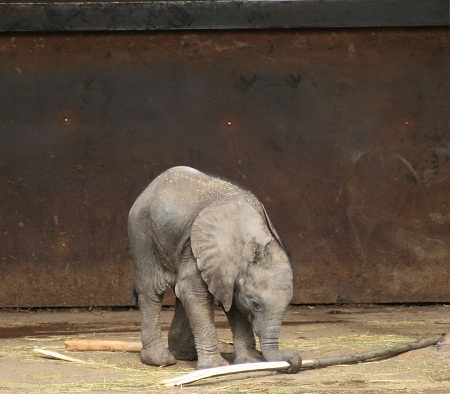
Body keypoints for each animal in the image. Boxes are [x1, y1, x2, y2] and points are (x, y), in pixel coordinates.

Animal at [128, 165, 300, 372]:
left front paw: (251, 362)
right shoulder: (199, 248)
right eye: (256, 304)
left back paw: (186, 354)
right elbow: (194, 291)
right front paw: (215, 366)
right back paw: (160, 360)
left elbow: (233, 303)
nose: (291, 361)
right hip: (142, 234)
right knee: (152, 291)